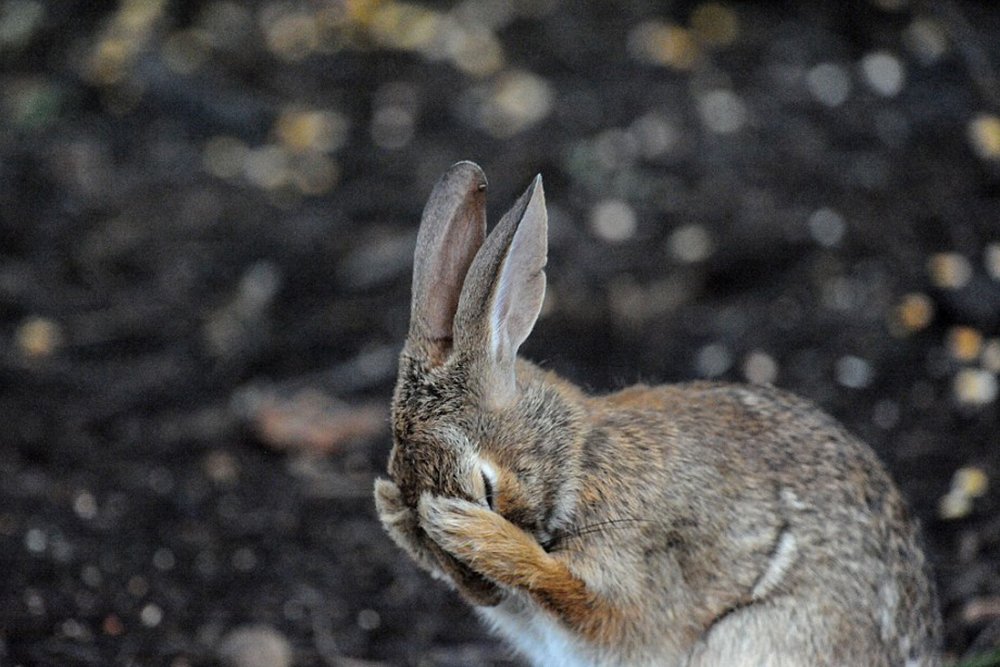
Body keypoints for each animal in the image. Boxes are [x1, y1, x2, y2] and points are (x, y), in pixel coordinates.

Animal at [374, 161, 942, 667]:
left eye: (486, 488)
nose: (483, 594)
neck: (578, 461)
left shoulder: (632, 574)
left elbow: (575, 594)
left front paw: (471, 532)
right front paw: (391, 510)